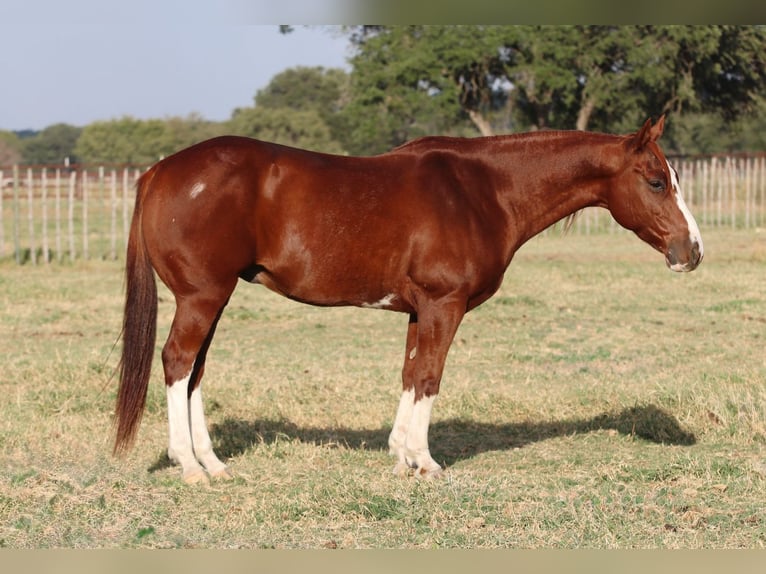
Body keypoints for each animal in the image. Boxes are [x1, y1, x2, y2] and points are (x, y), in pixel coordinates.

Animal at [114, 116, 703, 484]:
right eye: (656, 181)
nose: (692, 251)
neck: (483, 191)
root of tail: (160, 170)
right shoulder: (445, 305)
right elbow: (430, 376)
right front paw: (425, 462)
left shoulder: (419, 310)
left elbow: (409, 374)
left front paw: (400, 456)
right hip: (202, 297)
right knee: (178, 362)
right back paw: (190, 466)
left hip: (213, 298)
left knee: (194, 371)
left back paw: (213, 463)